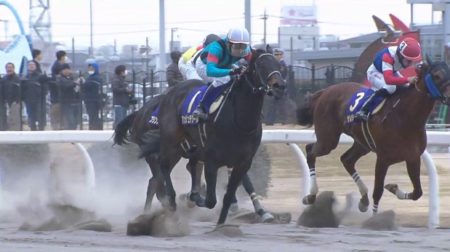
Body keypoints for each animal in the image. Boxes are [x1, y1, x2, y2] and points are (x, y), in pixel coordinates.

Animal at [157, 48, 284, 224]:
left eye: (278, 64)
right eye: (261, 64)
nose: (279, 85)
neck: (240, 122)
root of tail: (169, 93)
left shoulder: (243, 162)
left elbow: (229, 196)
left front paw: (222, 223)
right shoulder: (212, 160)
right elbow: (211, 200)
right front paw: (193, 198)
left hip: (191, 148)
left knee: (190, 166)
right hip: (171, 144)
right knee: (163, 165)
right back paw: (172, 201)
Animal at [296, 57, 450, 215]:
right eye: (437, 76)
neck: (406, 118)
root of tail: (325, 91)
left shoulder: (413, 157)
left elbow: (417, 192)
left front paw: (393, 187)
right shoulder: (383, 158)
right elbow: (378, 192)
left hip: (362, 143)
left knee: (346, 159)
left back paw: (363, 198)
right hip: (328, 140)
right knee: (310, 151)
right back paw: (311, 195)